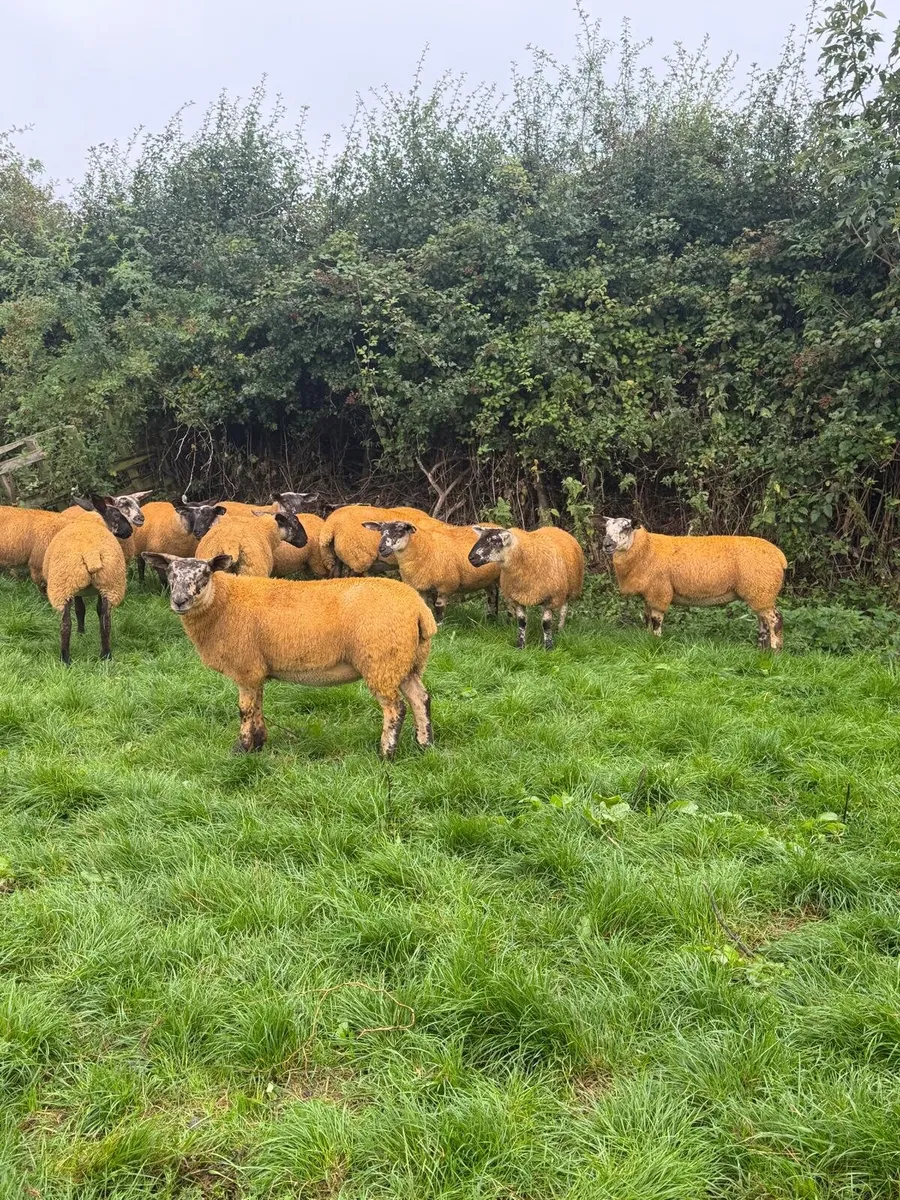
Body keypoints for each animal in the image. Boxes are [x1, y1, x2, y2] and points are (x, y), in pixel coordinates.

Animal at [43, 495, 134, 663]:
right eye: (116, 514)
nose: (130, 530)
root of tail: (90, 552)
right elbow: (89, 610)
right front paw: (81, 632)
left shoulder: (81, 589)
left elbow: (81, 610)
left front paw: (80, 633)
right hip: (107, 583)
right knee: (105, 621)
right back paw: (105, 655)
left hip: (67, 585)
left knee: (66, 624)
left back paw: (66, 659)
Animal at [141, 548, 437, 758]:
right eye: (171, 575)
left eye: (204, 575)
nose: (179, 601)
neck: (223, 603)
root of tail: (419, 610)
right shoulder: (257, 668)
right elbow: (257, 706)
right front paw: (258, 744)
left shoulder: (245, 667)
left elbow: (244, 710)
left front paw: (241, 749)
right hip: (407, 661)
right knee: (420, 699)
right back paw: (424, 745)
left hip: (381, 660)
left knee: (395, 708)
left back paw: (386, 753)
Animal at [362, 519, 501, 623]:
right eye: (381, 532)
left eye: (399, 531)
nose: (381, 548)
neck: (423, 549)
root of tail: (496, 525)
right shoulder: (421, 587)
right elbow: (424, 606)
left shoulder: (445, 585)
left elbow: (439, 607)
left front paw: (439, 625)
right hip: (487, 579)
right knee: (492, 594)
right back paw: (491, 617)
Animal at [601, 517, 788, 649]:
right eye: (606, 528)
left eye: (626, 527)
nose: (607, 544)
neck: (646, 548)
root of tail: (779, 556)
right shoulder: (649, 594)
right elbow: (647, 619)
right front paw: (646, 639)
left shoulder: (659, 592)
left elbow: (656, 621)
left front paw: (655, 642)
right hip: (760, 593)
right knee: (763, 622)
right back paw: (761, 650)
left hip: (762, 589)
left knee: (775, 620)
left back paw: (775, 651)